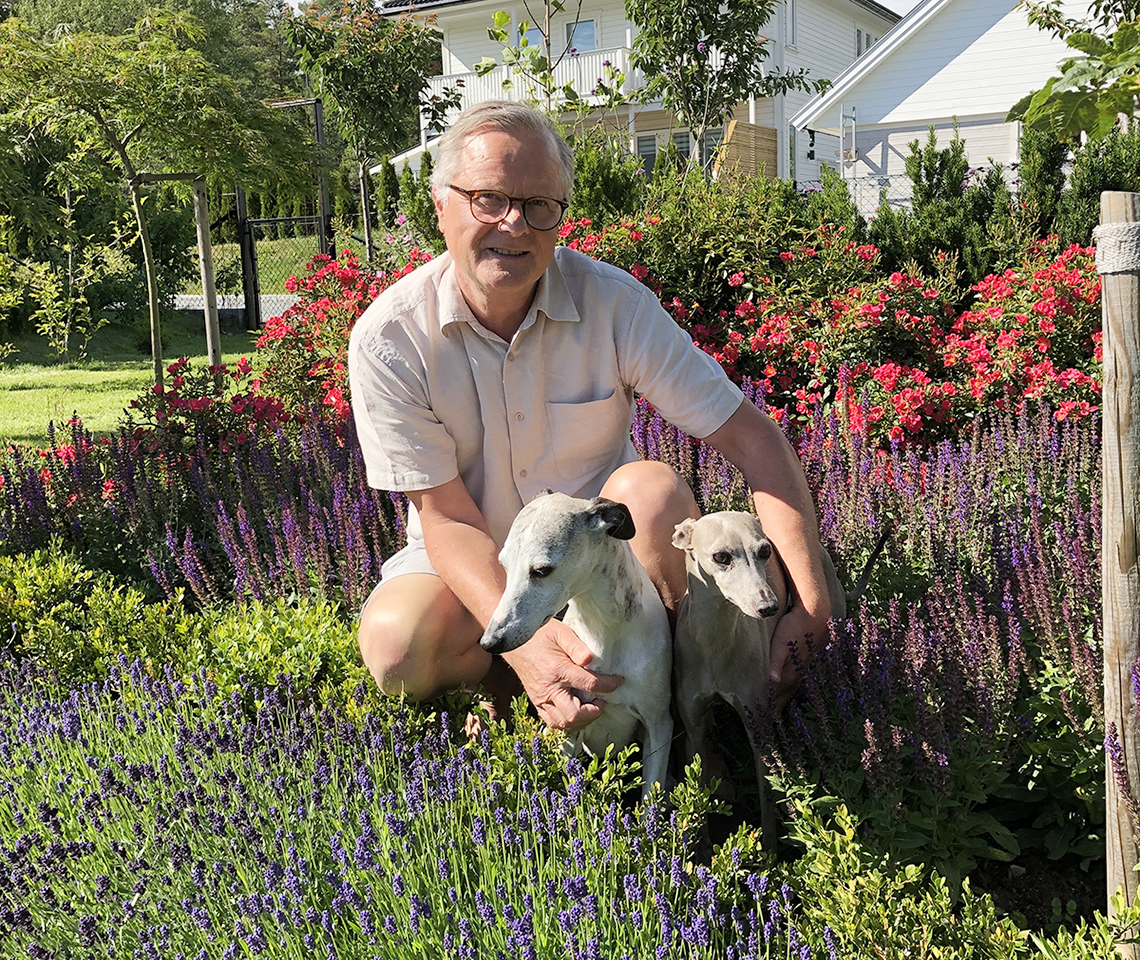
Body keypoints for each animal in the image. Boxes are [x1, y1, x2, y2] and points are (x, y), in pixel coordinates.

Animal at [478, 490, 670, 798]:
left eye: (541, 570)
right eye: (503, 565)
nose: (489, 642)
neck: (606, 633)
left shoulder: (659, 725)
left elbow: (652, 797)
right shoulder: (571, 726)